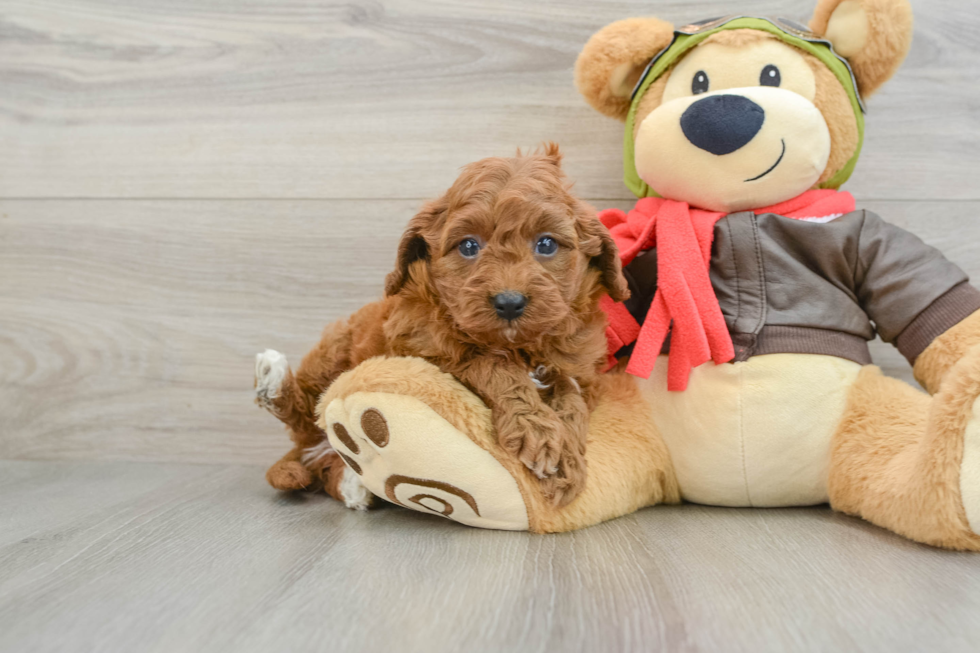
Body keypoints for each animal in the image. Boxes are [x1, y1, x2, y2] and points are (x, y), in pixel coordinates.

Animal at [255, 145, 628, 506]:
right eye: (469, 246)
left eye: (547, 244)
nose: (509, 302)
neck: (517, 346)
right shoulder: (425, 352)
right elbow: (491, 365)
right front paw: (537, 432)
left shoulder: (582, 371)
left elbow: (570, 393)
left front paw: (565, 461)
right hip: (334, 350)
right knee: (304, 412)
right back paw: (273, 381)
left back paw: (353, 485)